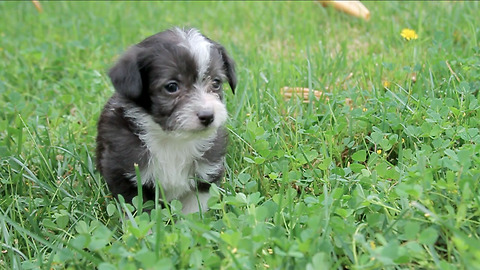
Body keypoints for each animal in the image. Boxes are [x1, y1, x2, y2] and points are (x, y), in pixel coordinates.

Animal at [96, 27, 236, 213]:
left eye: (216, 82)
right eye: (171, 86)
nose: (208, 116)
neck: (172, 140)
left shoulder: (207, 173)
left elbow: (194, 209)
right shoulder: (123, 173)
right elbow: (136, 208)